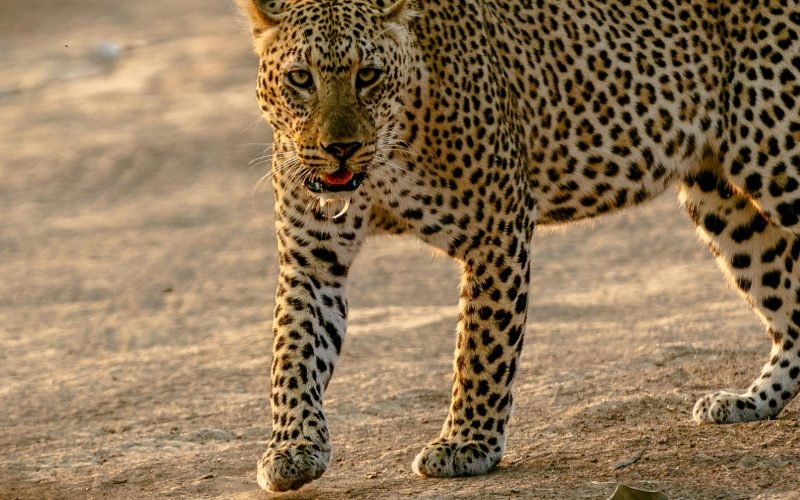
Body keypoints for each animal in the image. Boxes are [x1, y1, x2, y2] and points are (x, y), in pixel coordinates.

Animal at [238, 0, 800, 492]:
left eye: (368, 75)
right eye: (301, 78)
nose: (341, 148)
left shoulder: (496, 230)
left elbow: (481, 349)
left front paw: (465, 444)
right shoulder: (312, 259)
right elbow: (292, 355)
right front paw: (292, 449)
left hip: (779, 161)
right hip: (721, 197)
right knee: (789, 308)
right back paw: (749, 401)